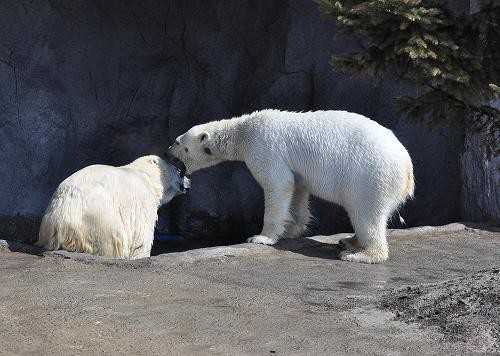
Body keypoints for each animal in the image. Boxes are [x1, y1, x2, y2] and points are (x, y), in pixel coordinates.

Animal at [37, 155, 191, 258]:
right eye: (179, 172)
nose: (189, 182)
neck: (146, 175)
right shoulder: (142, 200)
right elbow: (142, 235)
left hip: (49, 220)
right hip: (96, 215)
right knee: (111, 237)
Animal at [167, 110, 414, 262]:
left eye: (178, 142)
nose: (167, 151)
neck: (243, 131)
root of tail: (406, 168)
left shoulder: (264, 146)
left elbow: (278, 184)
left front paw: (261, 237)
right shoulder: (295, 168)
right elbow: (296, 190)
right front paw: (291, 230)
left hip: (369, 177)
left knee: (365, 213)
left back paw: (360, 254)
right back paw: (348, 241)